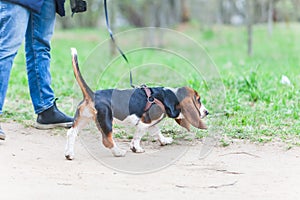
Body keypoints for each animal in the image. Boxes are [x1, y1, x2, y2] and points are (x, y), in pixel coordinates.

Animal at [63, 48, 209, 159]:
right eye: (198, 100)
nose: (207, 112)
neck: (168, 95)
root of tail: (92, 95)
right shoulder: (144, 123)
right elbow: (138, 136)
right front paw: (136, 148)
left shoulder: (151, 122)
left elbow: (157, 132)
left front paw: (164, 140)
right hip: (106, 121)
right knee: (107, 140)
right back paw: (118, 152)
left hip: (83, 119)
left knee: (71, 133)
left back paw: (69, 154)